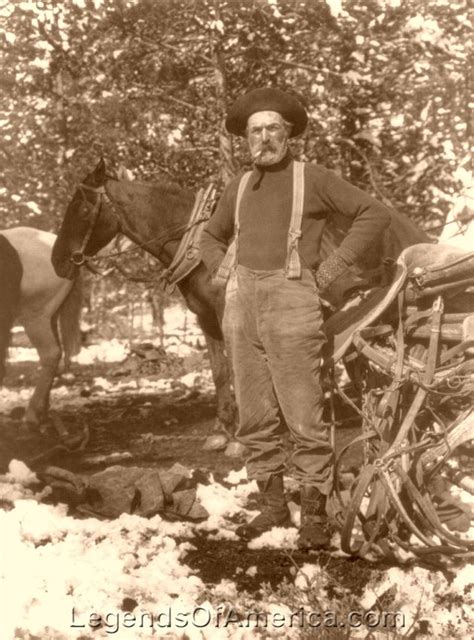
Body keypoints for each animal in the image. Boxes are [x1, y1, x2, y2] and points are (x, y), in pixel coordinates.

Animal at [52, 159, 434, 438]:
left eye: (82, 210)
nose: (58, 261)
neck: (199, 249)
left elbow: (239, 371)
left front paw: (243, 431)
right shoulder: (206, 320)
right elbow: (220, 372)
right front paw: (223, 429)